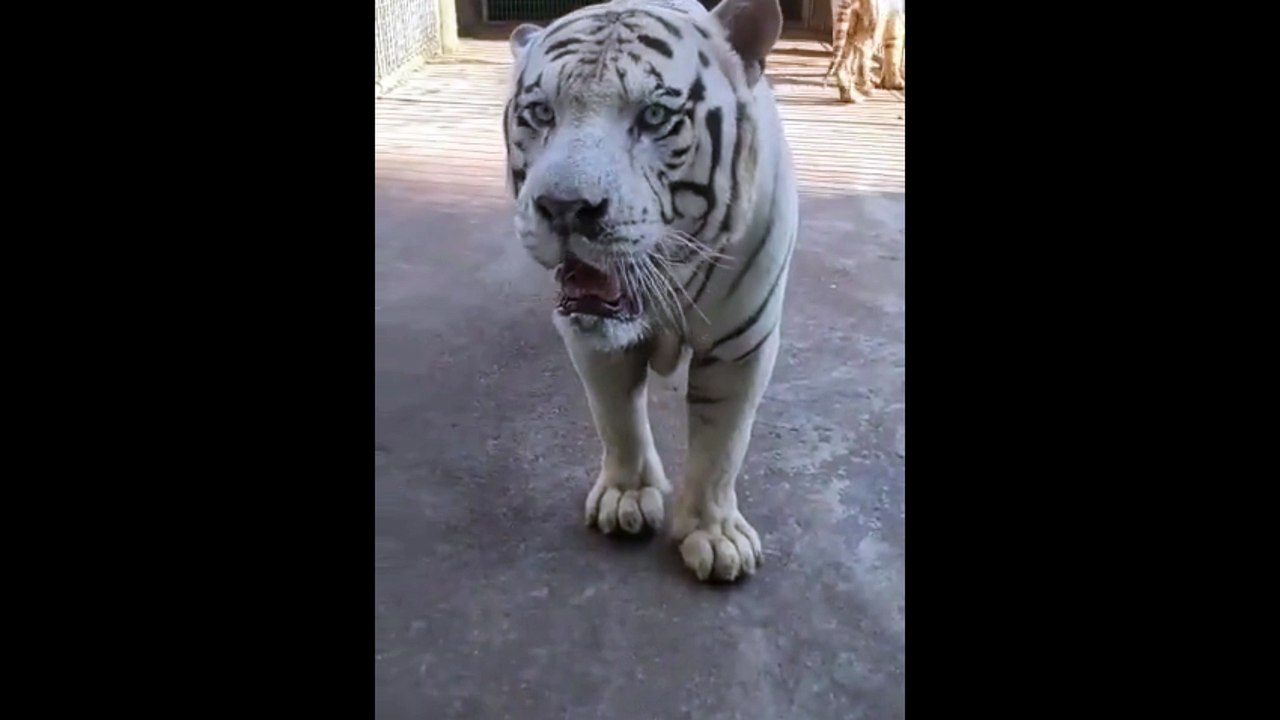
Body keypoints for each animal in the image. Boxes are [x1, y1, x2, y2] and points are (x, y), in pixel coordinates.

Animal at [502, 0, 799, 583]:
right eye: (542, 113)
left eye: (656, 117)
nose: (565, 208)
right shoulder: (590, 337)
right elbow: (616, 418)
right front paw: (627, 496)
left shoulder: (742, 343)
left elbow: (722, 443)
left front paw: (714, 536)